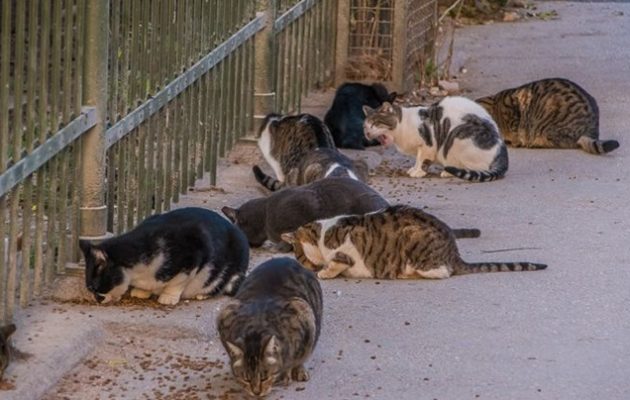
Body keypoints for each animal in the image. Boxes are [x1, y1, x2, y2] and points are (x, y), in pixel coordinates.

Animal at [81, 208, 252, 304]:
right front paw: (142, 291)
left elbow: (179, 280)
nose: (97, 300)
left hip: (235, 269)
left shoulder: (196, 250)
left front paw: (168, 297)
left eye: (95, 288)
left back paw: (203, 295)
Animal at [218, 256, 326, 396]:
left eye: (264, 377)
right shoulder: (226, 315)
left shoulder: (300, 313)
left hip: (309, 312)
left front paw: (286, 373)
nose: (256, 392)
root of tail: (287, 258)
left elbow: (293, 358)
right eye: (246, 379)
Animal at [282, 205, 548, 280]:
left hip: (414, 242)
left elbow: (337, 262)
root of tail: (454, 253)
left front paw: (324, 272)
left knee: (442, 272)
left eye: (298, 256)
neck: (322, 232)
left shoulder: (344, 250)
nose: (303, 265)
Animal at [478, 77, 624, 155]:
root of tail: (592, 129)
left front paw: (514, 142)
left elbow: (515, 133)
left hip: (549, 127)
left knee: (566, 142)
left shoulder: (514, 116)